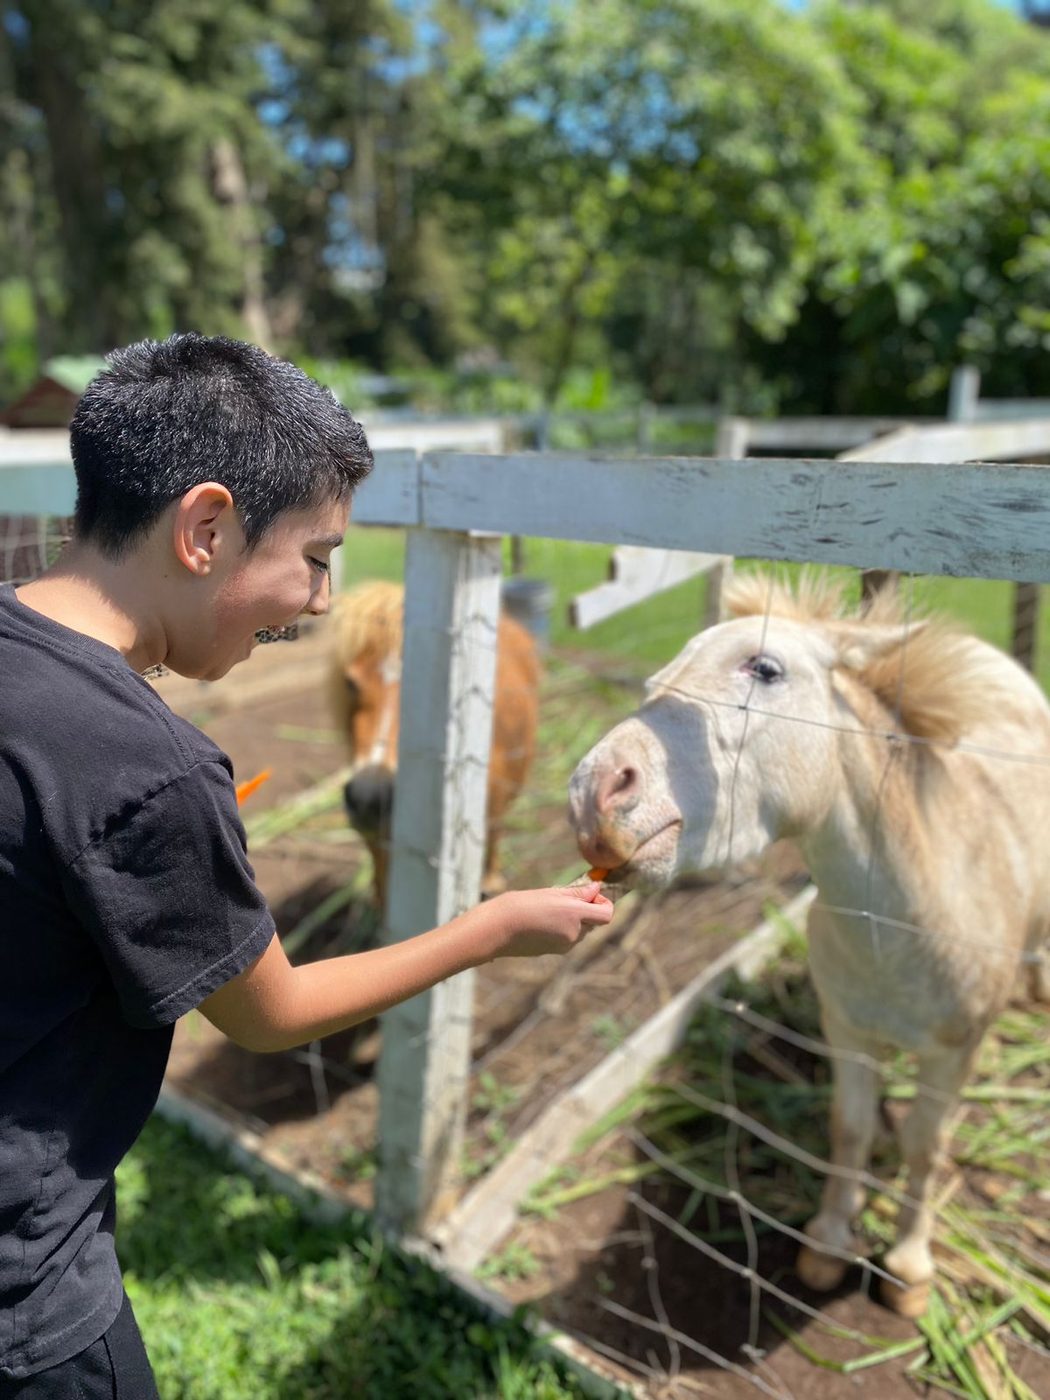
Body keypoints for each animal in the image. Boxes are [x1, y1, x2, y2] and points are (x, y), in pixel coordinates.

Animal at [568, 571, 1050, 1317]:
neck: (903, 933)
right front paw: (828, 1241)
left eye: (765, 669)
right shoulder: (845, 1029)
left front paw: (908, 1265)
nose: (592, 792)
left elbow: (926, 1144)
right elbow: (849, 1128)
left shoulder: (954, 1051)